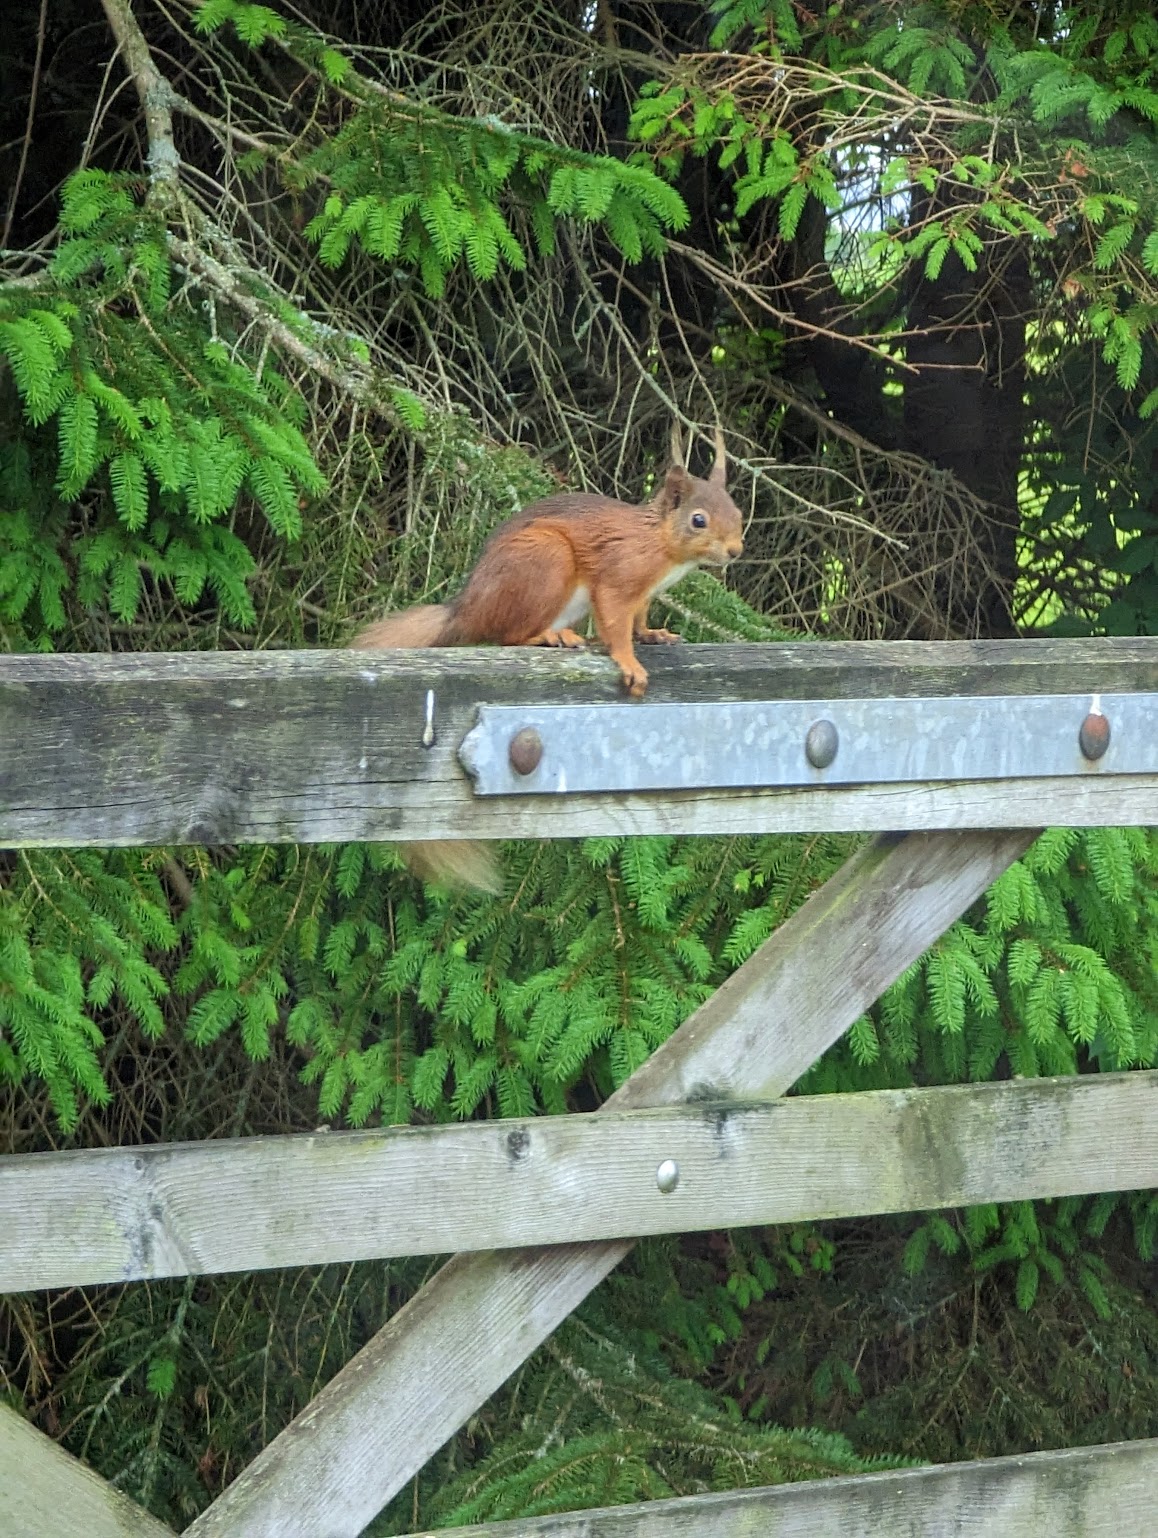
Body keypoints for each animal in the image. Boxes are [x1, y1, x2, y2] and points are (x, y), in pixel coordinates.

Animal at [351, 425, 744, 892]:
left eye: (738, 511)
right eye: (699, 520)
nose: (736, 551)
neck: (661, 545)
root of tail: (467, 609)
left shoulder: (644, 596)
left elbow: (638, 620)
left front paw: (653, 635)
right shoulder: (618, 576)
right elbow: (615, 624)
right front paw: (629, 662)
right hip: (545, 561)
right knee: (510, 637)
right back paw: (551, 636)